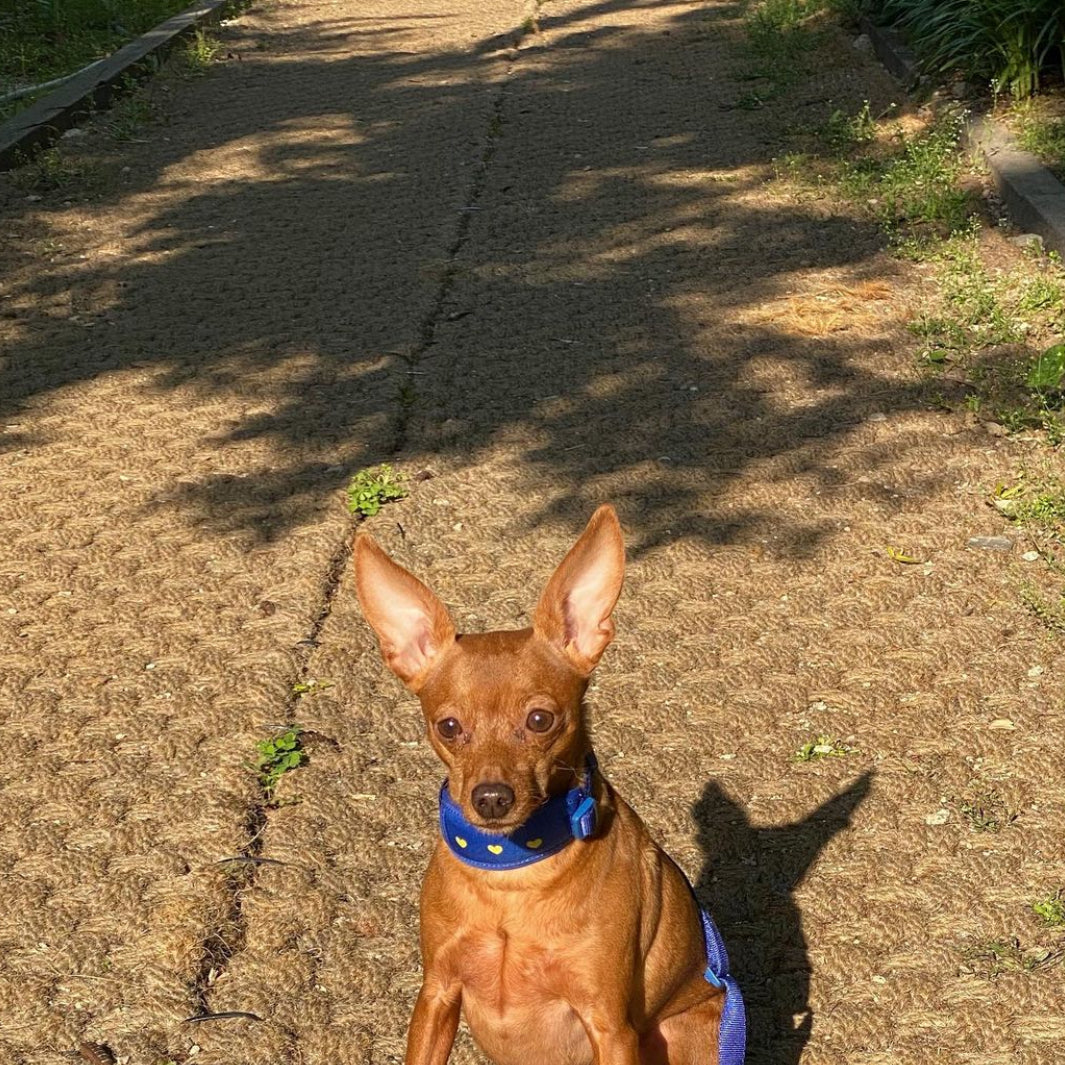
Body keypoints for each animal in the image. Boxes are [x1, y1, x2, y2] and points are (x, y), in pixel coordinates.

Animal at [353, 504, 745, 1065]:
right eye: (448, 727)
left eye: (540, 720)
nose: (492, 798)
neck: (513, 875)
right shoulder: (437, 995)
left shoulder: (610, 1027)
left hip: (685, 1033)